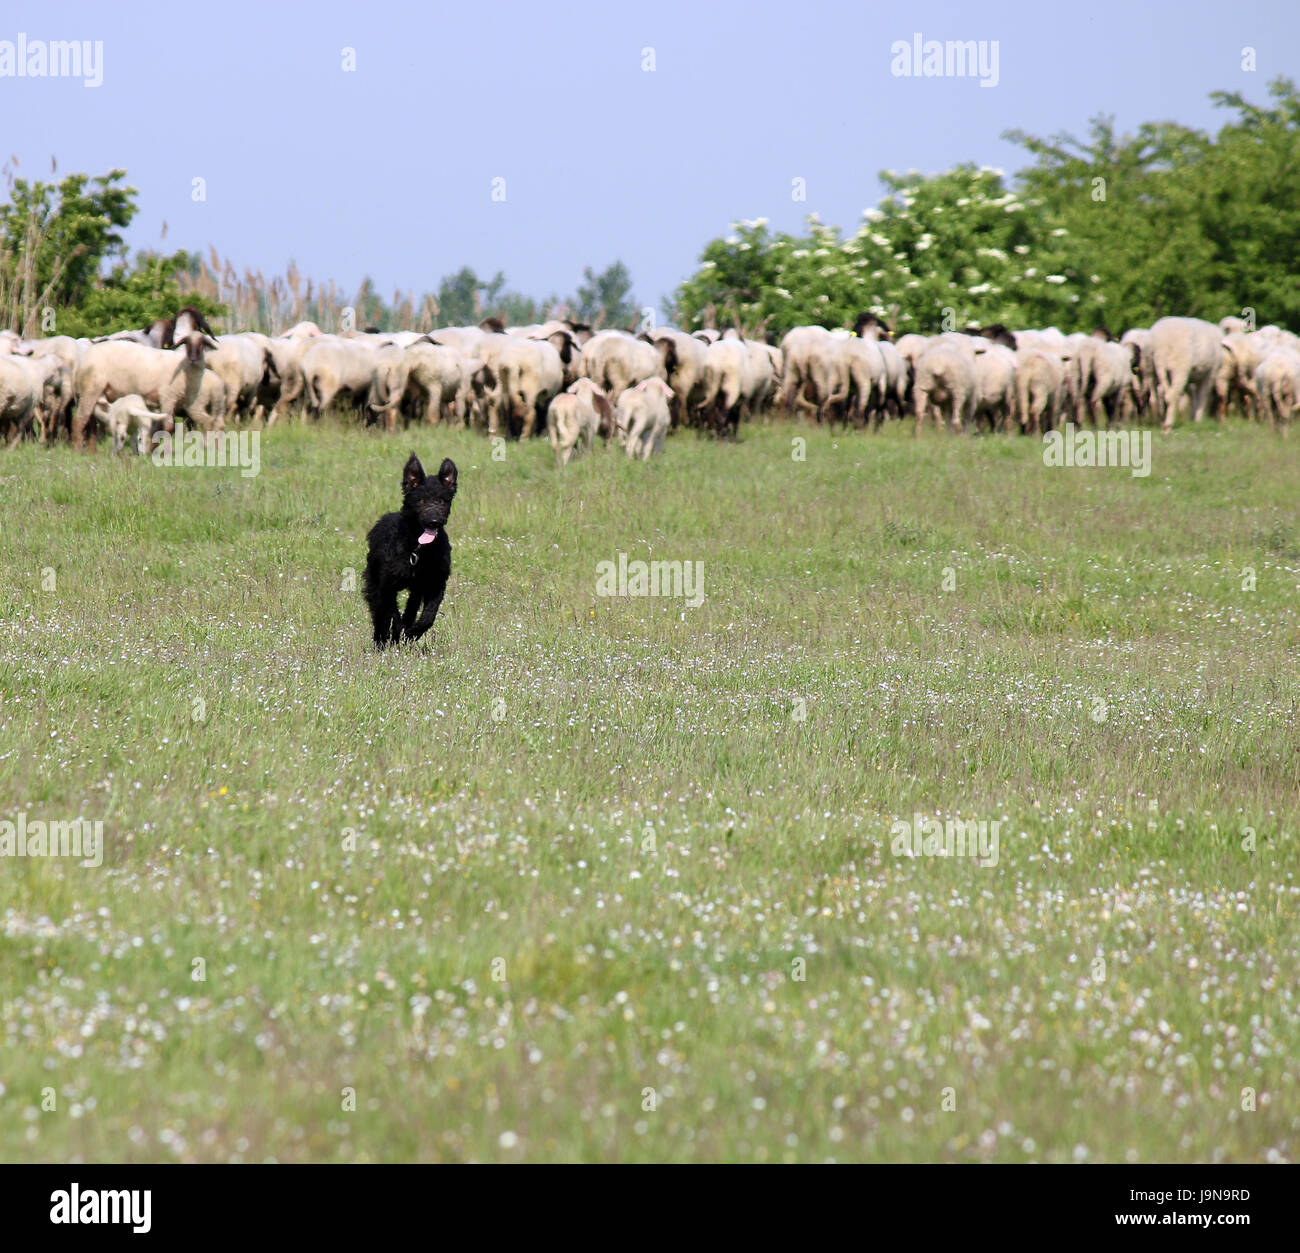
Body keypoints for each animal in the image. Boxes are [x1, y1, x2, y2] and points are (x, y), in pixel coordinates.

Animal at [70, 332, 218, 449]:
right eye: (187, 344)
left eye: (202, 344)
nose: (193, 359)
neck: (184, 369)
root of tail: (82, 360)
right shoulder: (167, 397)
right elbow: (169, 428)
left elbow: (157, 428)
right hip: (91, 389)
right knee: (79, 420)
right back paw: (78, 450)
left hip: (93, 393)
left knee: (90, 422)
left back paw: (92, 451)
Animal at [364, 449, 460, 647]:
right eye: (421, 501)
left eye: (442, 501)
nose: (434, 521)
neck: (418, 550)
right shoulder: (386, 586)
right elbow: (393, 615)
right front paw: (398, 635)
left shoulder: (435, 584)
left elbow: (428, 616)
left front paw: (412, 633)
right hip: (373, 584)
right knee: (380, 616)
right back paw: (380, 642)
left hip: (416, 591)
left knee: (410, 610)